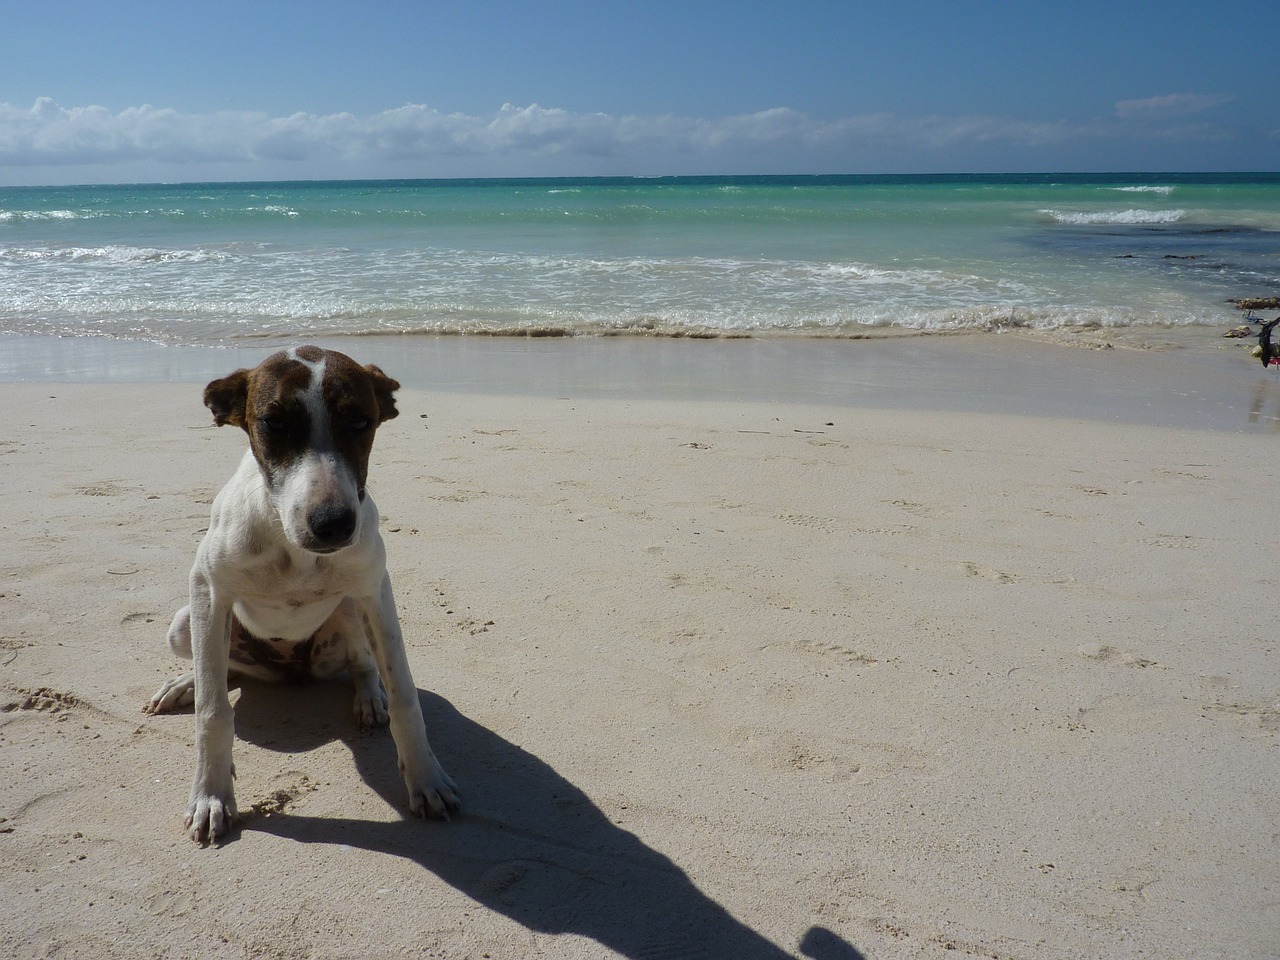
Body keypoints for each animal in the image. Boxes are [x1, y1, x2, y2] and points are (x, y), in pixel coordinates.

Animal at [145, 343, 460, 839]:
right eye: (274, 423)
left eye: (361, 421)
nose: (333, 524)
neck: (292, 548)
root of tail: (289, 671)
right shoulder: (209, 589)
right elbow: (213, 711)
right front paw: (211, 795)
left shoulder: (375, 593)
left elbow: (406, 698)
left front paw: (426, 779)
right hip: (184, 624)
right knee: (220, 668)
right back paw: (185, 683)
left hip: (349, 612)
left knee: (362, 664)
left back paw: (369, 697)